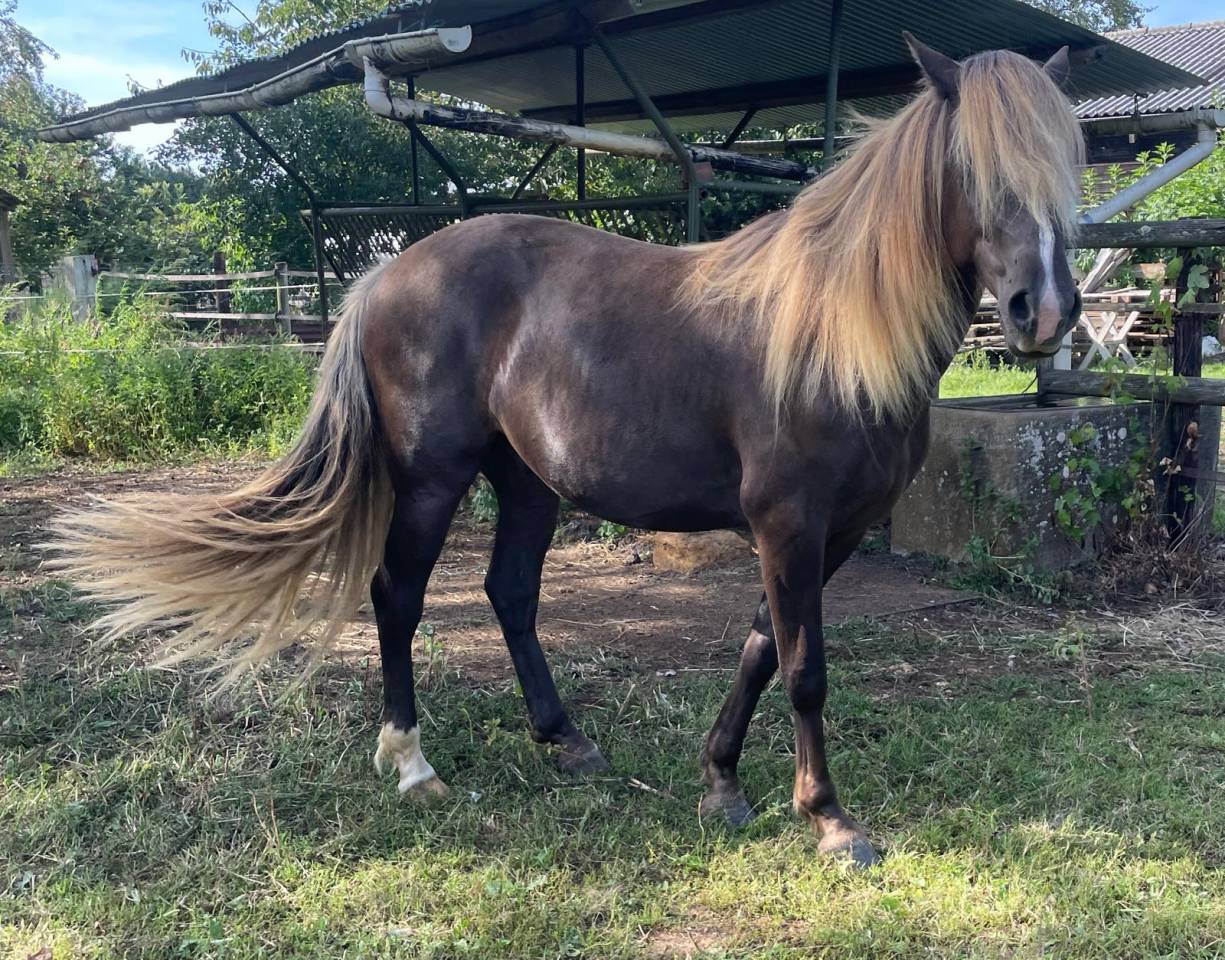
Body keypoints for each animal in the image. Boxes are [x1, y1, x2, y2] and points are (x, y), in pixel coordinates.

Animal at [51, 36, 1085, 868]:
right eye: (975, 170)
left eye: (1064, 172)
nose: (1044, 314)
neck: (829, 329)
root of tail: (388, 271)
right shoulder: (789, 523)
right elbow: (804, 669)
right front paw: (829, 821)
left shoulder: (835, 533)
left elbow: (760, 649)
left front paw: (722, 784)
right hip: (432, 479)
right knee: (398, 597)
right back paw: (411, 762)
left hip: (527, 482)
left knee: (508, 593)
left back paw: (564, 739)